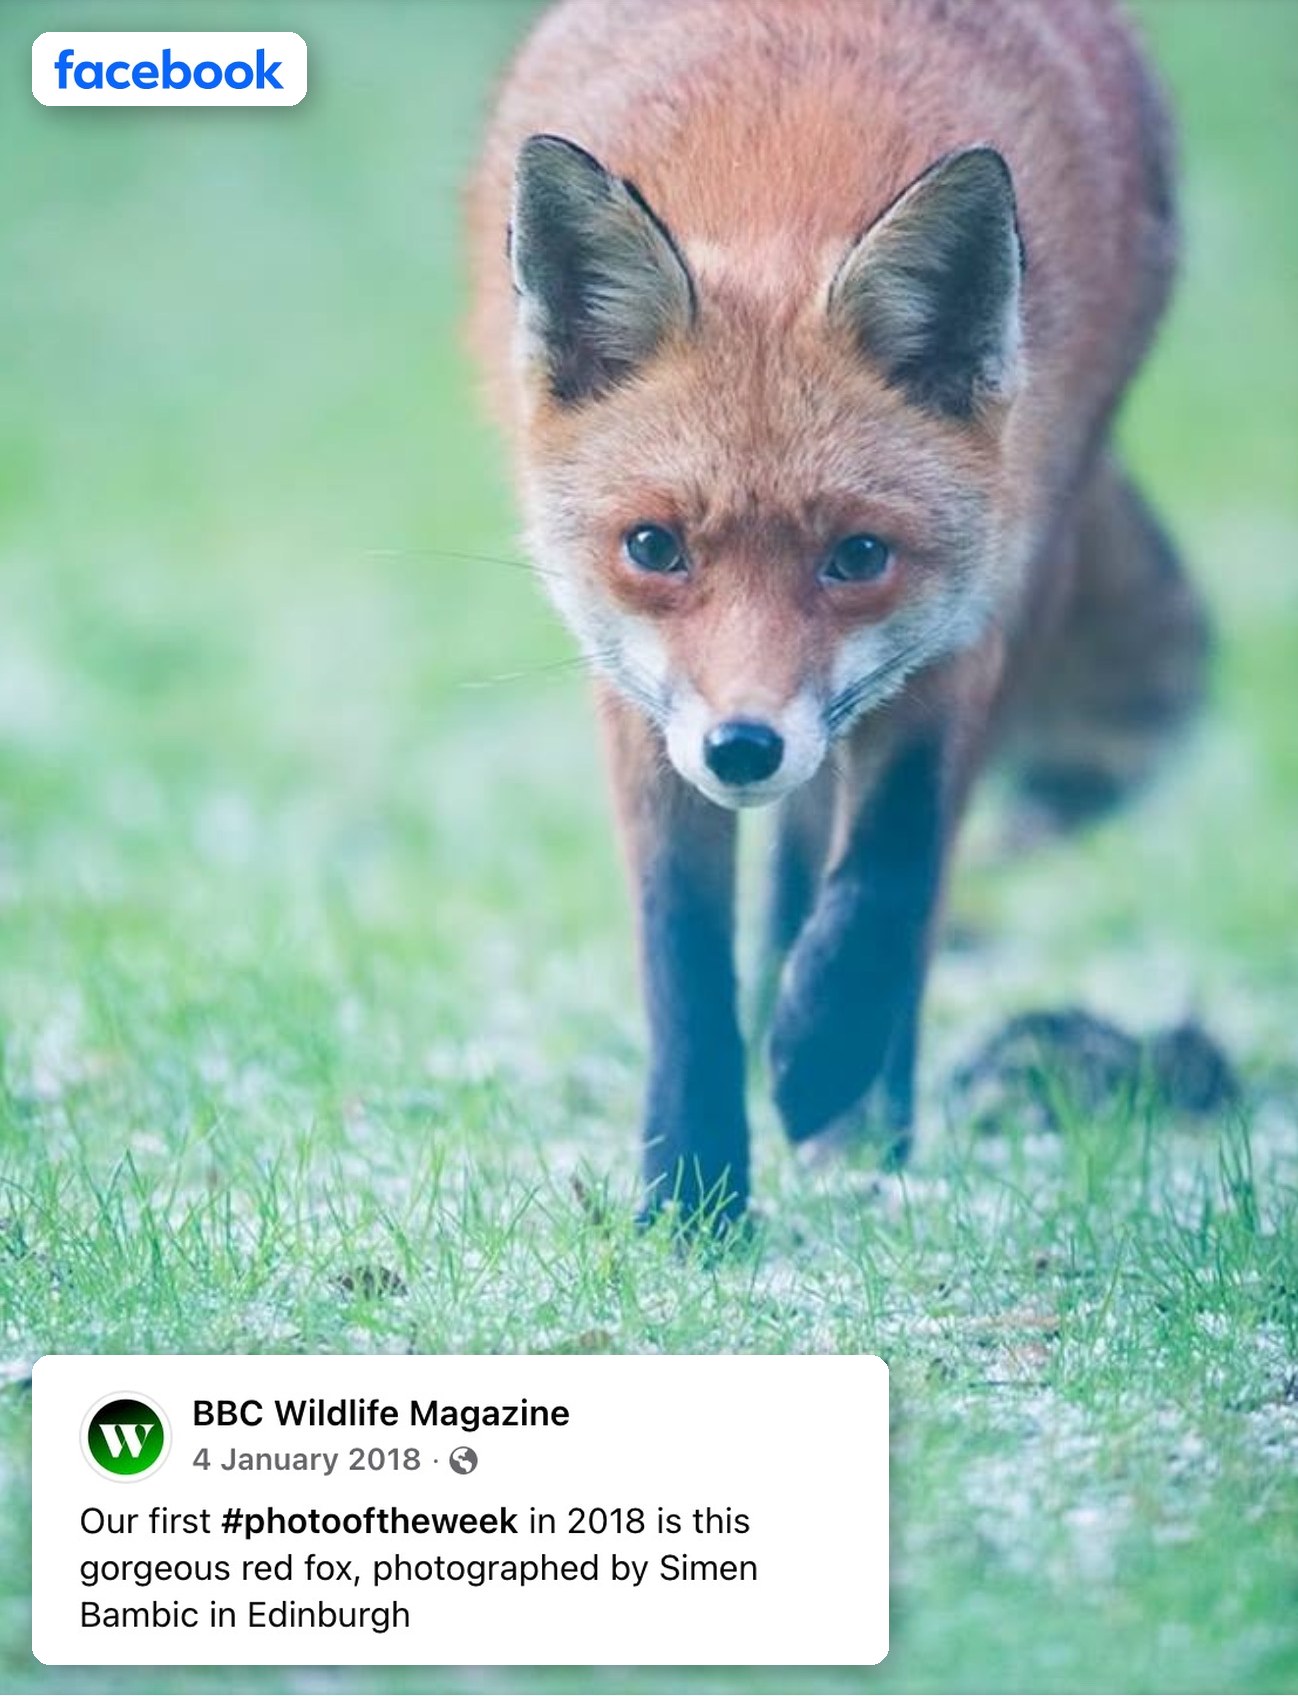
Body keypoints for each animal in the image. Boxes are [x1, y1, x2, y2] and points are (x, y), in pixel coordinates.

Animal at [467, 0, 1209, 1225]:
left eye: (858, 556)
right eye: (652, 547)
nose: (744, 746)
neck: (784, 174)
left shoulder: (979, 608)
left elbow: (894, 863)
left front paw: (823, 1061)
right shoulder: (634, 695)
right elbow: (682, 950)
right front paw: (692, 1196)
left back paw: (865, 1105)